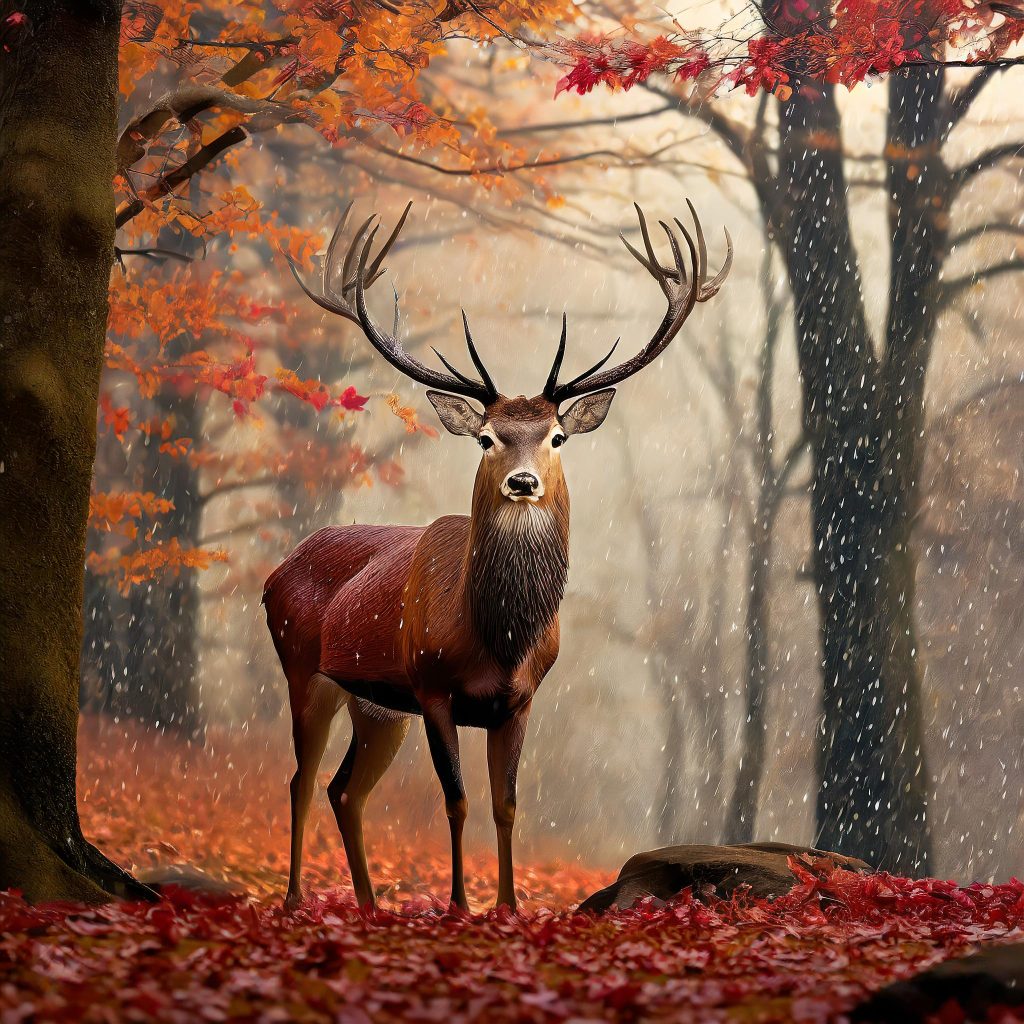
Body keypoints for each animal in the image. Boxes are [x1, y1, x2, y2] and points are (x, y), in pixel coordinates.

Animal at [264, 199, 732, 912]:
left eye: (557, 435)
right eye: (486, 437)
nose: (523, 481)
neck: (498, 637)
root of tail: (275, 571)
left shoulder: (520, 698)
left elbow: (507, 805)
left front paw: (509, 907)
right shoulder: (431, 684)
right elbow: (457, 801)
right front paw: (460, 905)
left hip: (377, 705)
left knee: (345, 789)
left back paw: (370, 905)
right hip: (305, 669)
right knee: (299, 778)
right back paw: (294, 899)